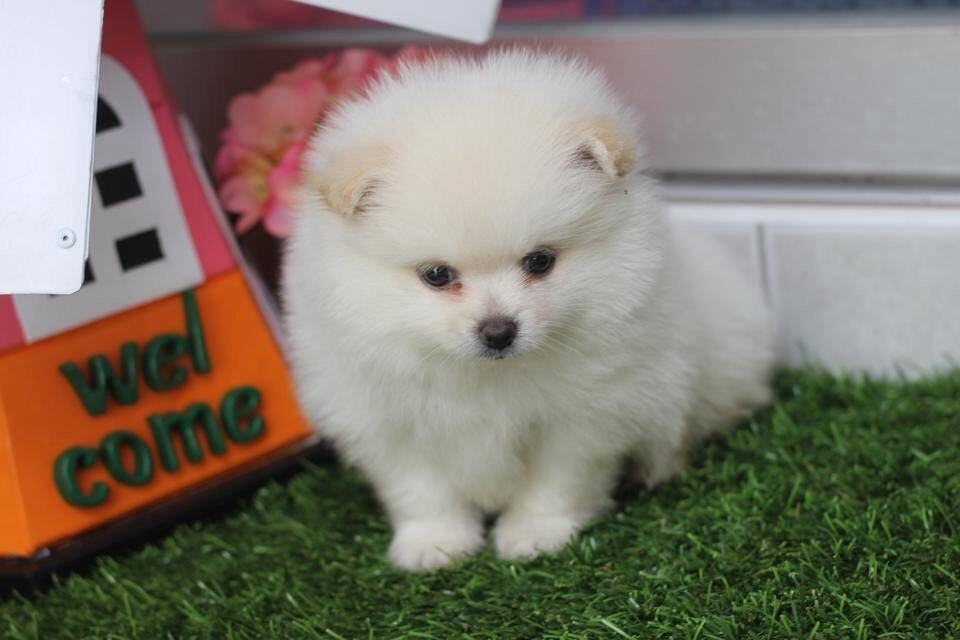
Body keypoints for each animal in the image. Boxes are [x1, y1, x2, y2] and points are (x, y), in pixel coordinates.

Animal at [282, 50, 774, 571]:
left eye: (539, 261)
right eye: (436, 275)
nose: (498, 331)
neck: (488, 376)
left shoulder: (584, 416)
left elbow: (557, 481)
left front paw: (535, 534)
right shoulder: (386, 421)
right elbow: (422, 489)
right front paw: (434, 544)